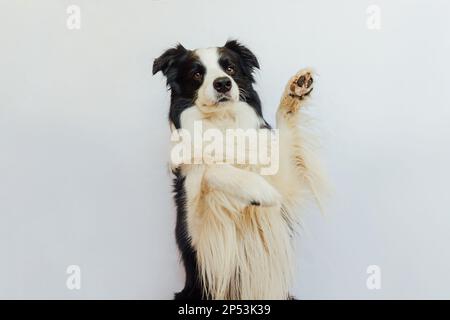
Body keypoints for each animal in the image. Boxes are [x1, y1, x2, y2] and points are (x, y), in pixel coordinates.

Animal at [154, 40, 324, 300]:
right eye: (196, 74)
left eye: (230, 68)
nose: (223, 83)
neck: (223, 123)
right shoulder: (199, 238)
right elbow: (210, 168)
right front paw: (260, 191)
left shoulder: (284, 188)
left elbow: (285, 136)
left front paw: (295, 90)